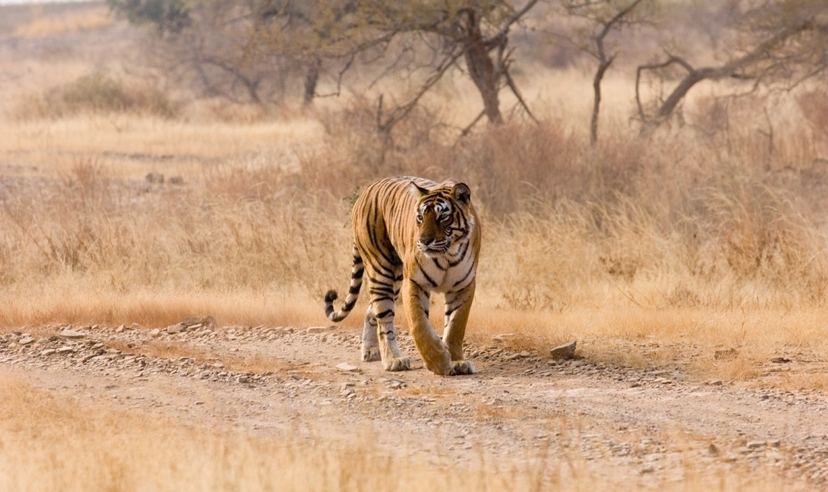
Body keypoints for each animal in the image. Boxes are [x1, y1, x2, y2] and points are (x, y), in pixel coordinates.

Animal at [324, 176, 481, 376]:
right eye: (420, 217)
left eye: (442, 217)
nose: (424, 241)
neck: (448, 255)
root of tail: (367, 189)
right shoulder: (414, 282)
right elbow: (419, 324)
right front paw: (438, 362)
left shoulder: (463, 286)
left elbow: (455, 326)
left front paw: (457, 361)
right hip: (381, 270)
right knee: (383, 319)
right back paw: (393, 359)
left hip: (396, 279)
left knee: (371, 309)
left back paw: (370, 350)